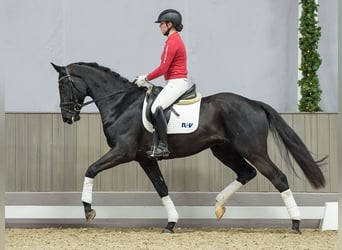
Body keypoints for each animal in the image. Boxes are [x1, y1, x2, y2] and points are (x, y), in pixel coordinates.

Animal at [51, 61, 326, 233]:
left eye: (63, 85)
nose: (67, 117)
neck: (121, 104)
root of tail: (254, 103)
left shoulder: (123, 152)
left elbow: (90, 169)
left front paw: (88, 210)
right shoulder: (145, 158)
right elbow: (161, 188)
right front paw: (171, 223)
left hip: (253, 150)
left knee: (278, 177)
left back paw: (296, 224)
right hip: (223, 149)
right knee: (246, 173)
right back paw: (218, 205)